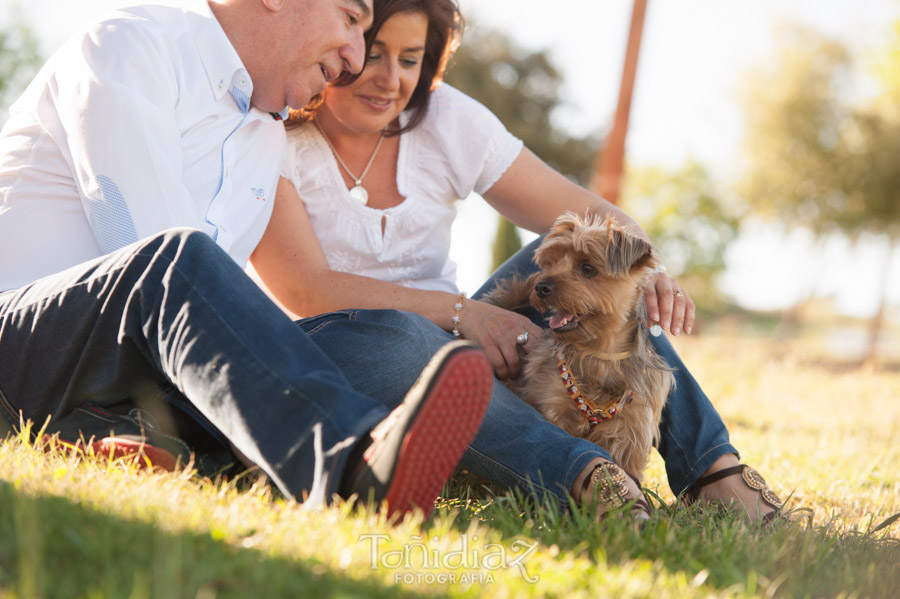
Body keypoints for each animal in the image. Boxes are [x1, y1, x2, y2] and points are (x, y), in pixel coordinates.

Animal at [488, 212, 672, 482]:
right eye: (551, 264)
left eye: (587, 268)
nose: (540, 286)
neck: (600, 352)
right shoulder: (553, 406)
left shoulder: (630, 430)